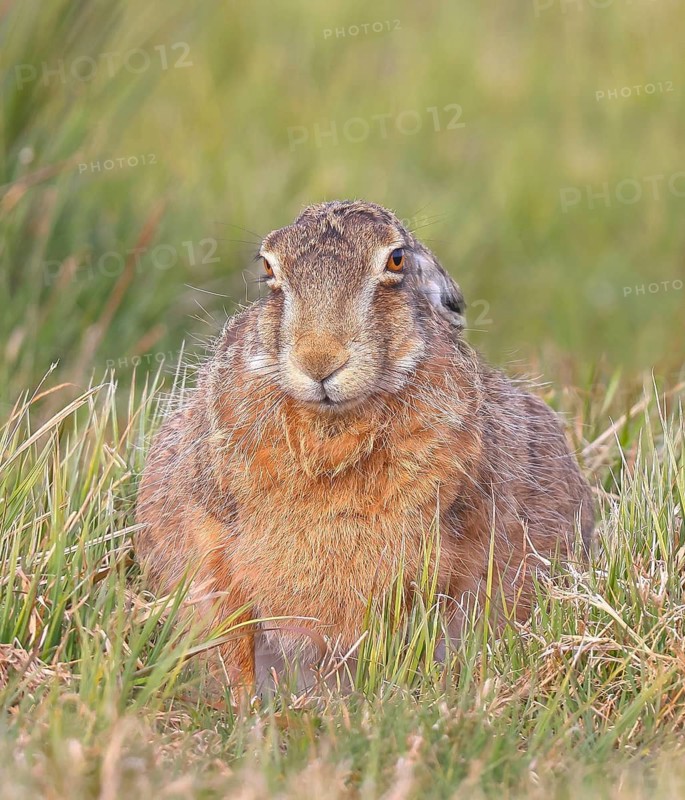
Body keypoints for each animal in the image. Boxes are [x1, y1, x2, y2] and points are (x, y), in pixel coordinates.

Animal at [136, 200, 594, 694]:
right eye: (268, 267)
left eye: (396, 260)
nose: (319, 360)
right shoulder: (212, 547)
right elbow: (232, 640)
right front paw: (243, 706)